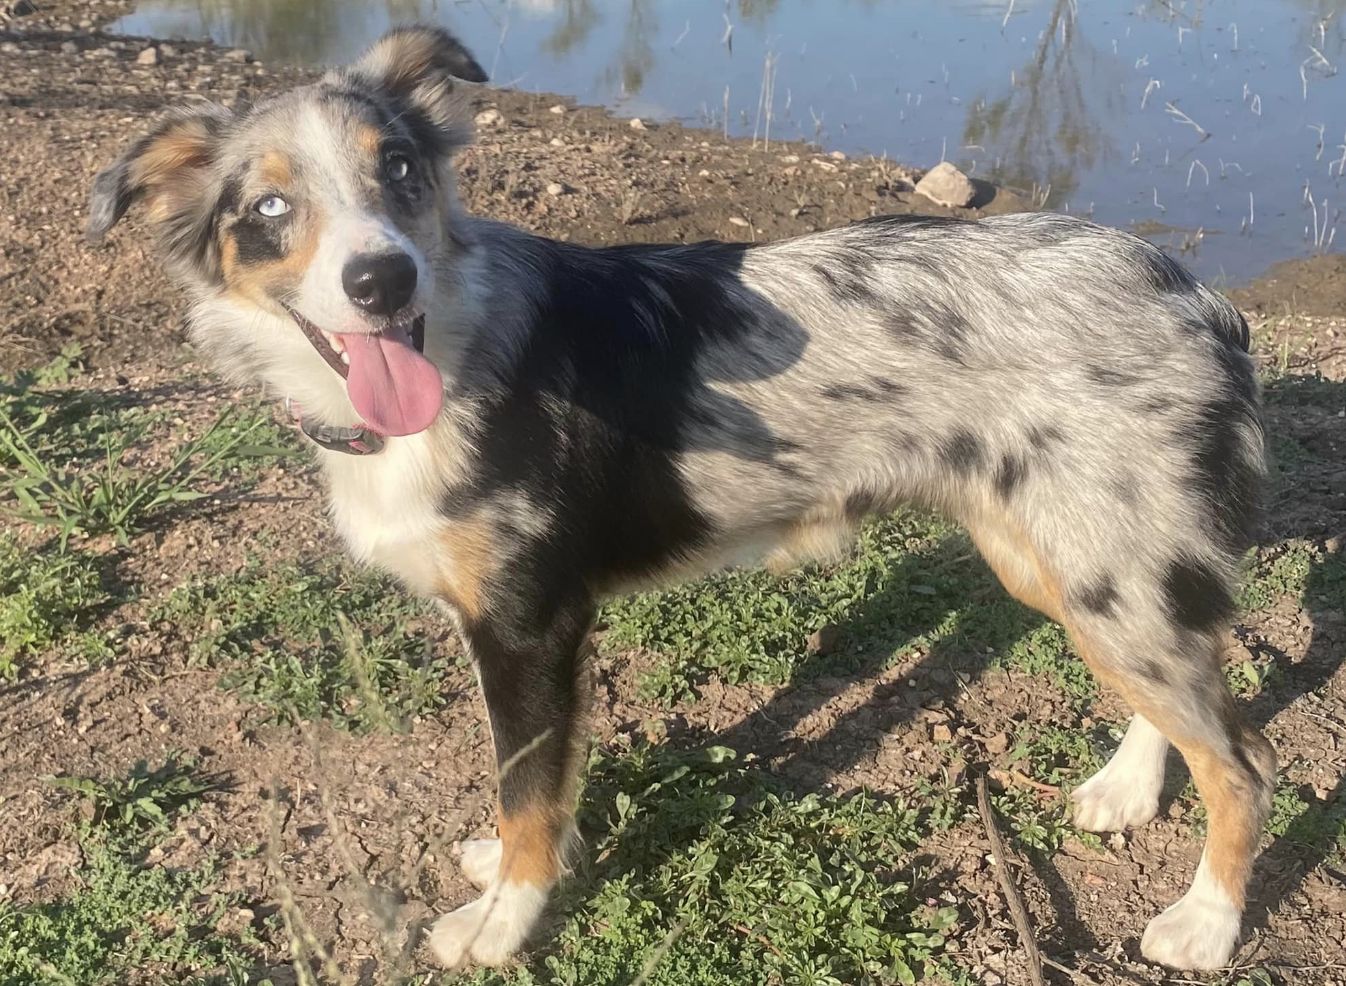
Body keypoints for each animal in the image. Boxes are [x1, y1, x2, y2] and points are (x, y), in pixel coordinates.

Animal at [89, 26, 1276, 973]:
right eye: (269, 207)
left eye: (402, 170)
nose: (384, 281)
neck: (453, 345)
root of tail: (1186, 290)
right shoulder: (519, 634)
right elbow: (537, 778)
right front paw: (520, 862)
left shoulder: (529, 625)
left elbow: (527, 786)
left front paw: (502, 920)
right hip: (1062, 561)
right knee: (1187, 693)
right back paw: (1128, 786)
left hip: (1100, 567)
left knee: (1243, 761)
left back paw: (1205, 923)